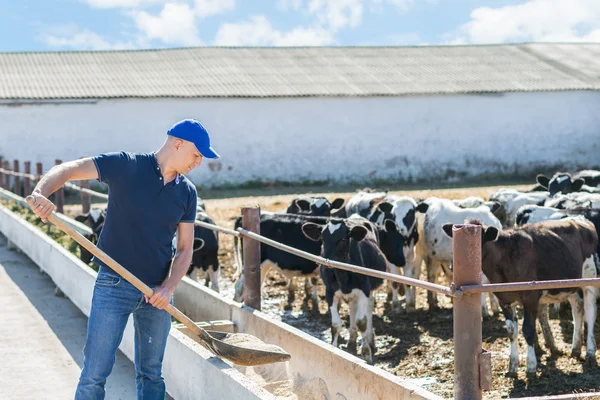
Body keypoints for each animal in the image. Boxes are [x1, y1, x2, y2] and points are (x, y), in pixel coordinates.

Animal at [302, 214, 386, 364]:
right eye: (323, 238)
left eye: (342, 239)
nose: (325, 261)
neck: (343, 275)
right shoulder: (330, 293)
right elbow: (336, 324)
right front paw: (334, 349)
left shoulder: (364, 291)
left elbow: (362, 322)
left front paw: (366, 353)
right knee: (352, 310)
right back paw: (351, 343)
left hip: (369, 290)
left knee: (368, 310)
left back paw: (370, 342)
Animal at [440, 217, 600, 376]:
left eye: (479, 242)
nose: (453, 265)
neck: (506, 260)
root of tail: (581, 219)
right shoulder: (504, 300)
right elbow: (512, 332)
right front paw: (512, 366)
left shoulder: (530, 297)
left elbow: (528, 330)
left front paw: (531, 366)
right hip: (569, 285)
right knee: (578, 308)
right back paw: (575, 349)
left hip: (589, 281)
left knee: (590, 313)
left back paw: (590, 353)